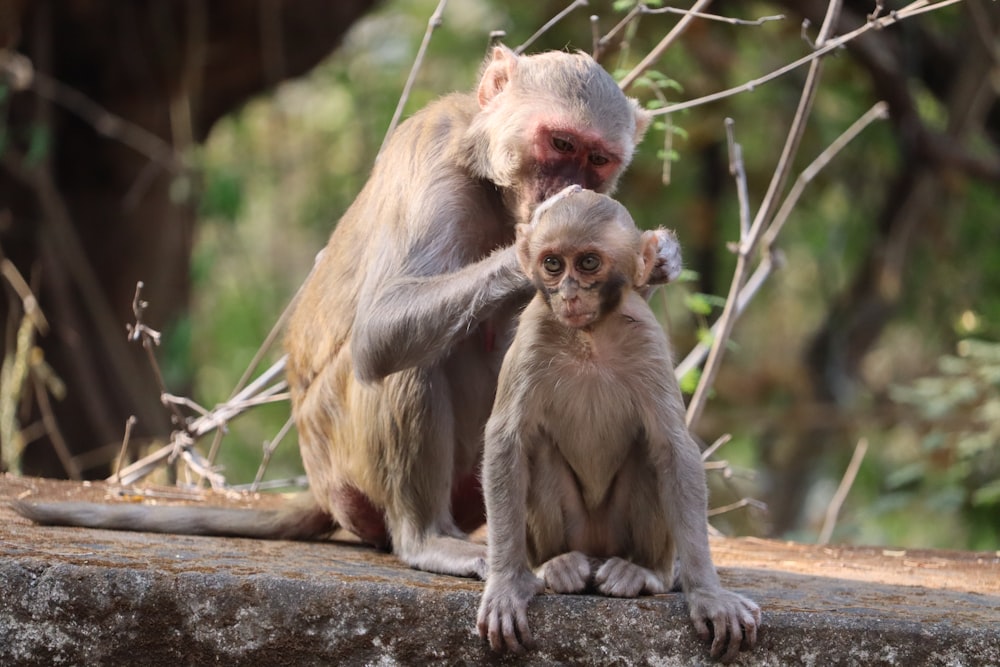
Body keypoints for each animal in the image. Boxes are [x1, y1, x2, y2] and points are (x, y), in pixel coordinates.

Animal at [11, 45, 672, 580]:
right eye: (559, 144)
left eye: (597, 160)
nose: (566, 184)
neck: (495, 187)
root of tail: (324, 493)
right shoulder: (432, 159)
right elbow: (379, 332)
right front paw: (538, 246)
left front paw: (647, 261)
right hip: (347, 462)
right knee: (409, 362)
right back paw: (424, 538)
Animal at [476, 187, 756, 664]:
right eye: (553, 264)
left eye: (588, 263)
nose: (569, 294)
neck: (590, 336)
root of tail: (596, 549)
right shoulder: (531, 337)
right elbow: (506, 443)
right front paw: (506, 584)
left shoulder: (647, 339)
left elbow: (674, 449)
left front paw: (707, 593)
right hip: (575, 528)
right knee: (538, 451)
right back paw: (559, 564)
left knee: (650, 456)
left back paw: (641, 573)